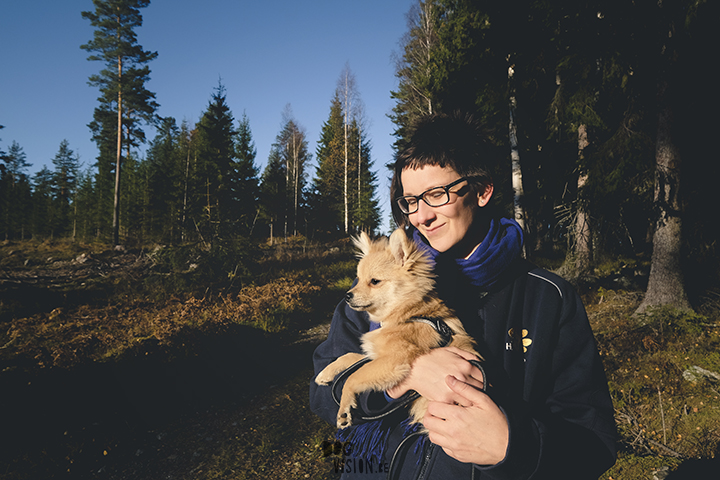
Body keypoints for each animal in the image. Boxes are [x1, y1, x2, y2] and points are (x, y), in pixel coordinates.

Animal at [314, 227, 478, 430]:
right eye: (358, 279)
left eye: (374, 281)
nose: (347, 296)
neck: (409, 314)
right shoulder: (376, 355)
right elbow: (350, 356)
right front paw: (326, 372)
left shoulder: (394, 360)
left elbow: (354, 376)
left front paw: (344, 408)